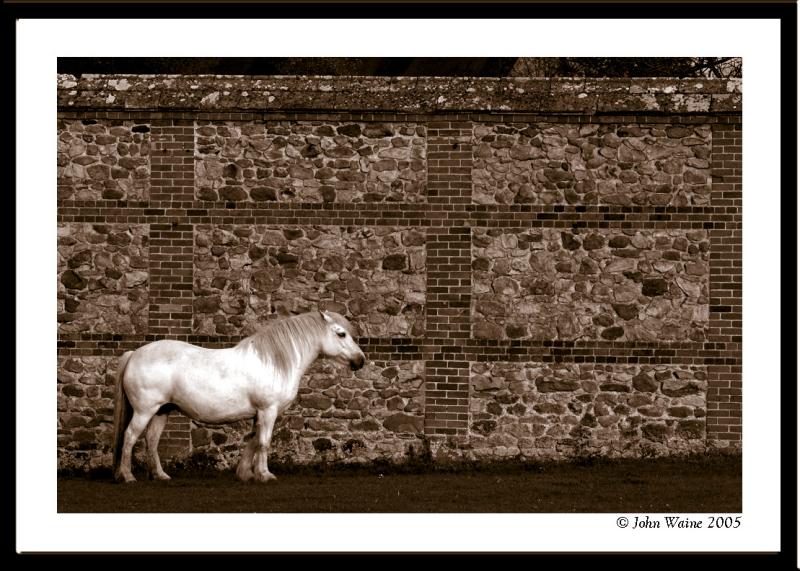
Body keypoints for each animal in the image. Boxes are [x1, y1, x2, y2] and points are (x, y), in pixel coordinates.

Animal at [110, 310, 366, 484]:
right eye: (341, 334)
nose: (360, 360)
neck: (274, 362)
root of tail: (134, 354)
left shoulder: (259, 414)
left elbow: (253, 440)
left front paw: (245, 474)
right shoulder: (268, 411)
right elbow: (264, 442)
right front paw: (265, 474)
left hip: (162, 410)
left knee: (151, 440)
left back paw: (160, 475)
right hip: (145, 410)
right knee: (130, 437)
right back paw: (127, 476)